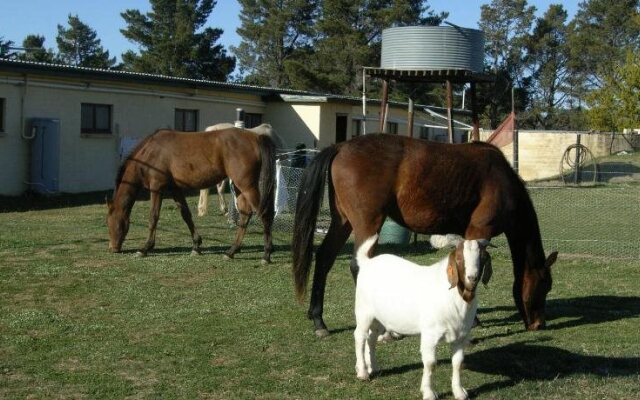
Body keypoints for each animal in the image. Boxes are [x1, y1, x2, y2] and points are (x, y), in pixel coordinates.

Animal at [107, 127, 276, 262]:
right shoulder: (175, 189)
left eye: (111, 222)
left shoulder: (157, 188)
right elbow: (186, 215)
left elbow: (153, 217)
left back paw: (266, 255)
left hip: (247, 186)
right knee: (245, 214)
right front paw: (196, 245)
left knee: (265, 214)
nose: (113, 248)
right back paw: (231, 251)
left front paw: (145, 248)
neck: (150, 153)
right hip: (239, 186)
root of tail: (255, 137)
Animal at [292, 134, 556, 338]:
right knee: (358, 266)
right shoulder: (479, 231)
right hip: (368, 224)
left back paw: (318, 320)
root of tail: (341, 146)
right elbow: (472, 272)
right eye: (545, 284)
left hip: (343, 223)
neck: (503, 182)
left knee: (324, 258)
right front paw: (474, 320)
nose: (539, 324)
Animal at [352, 234, 492, 400]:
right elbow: (431, 363)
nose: (472, 278)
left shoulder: (461, 336)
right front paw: (428, 392)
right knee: (360, 336)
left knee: (371, 338)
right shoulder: (430, 334)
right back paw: (362, 372)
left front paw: (459, 392)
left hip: (378, 318)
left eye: (482, 257)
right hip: (363, 311)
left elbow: (457, 363)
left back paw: (373, 368)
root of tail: (367, 262)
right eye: (459, 258)